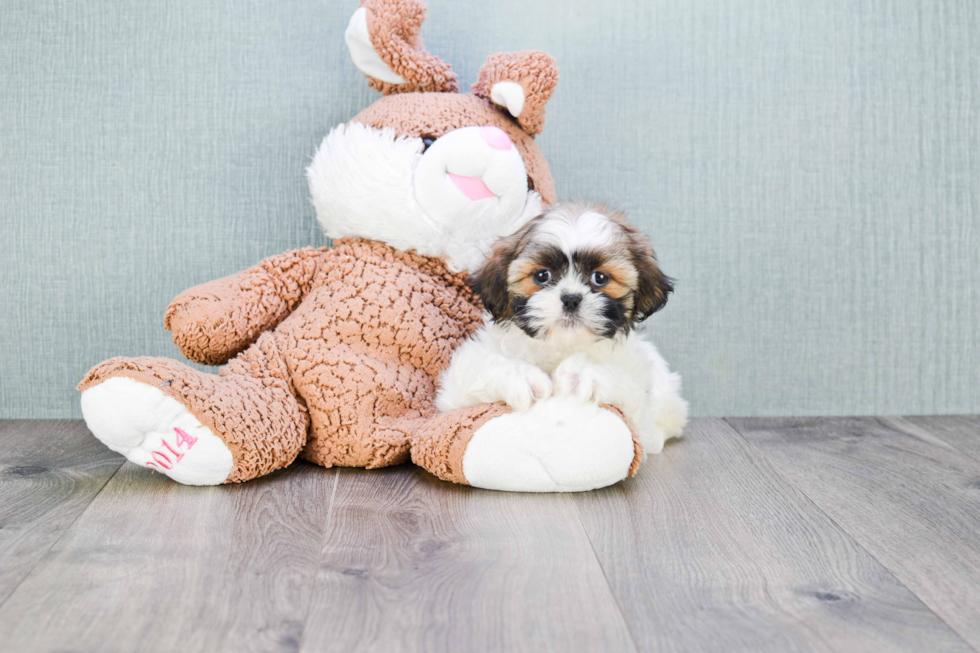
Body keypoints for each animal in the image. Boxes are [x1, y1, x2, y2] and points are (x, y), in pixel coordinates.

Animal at [436, 202, 688, 454]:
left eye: (599, 278)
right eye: (542, 275)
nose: (571, 299)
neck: (560, 345)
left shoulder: (639, 408)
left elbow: (624, 383)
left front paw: (577, 375)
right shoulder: (456, 395)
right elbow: (481, 370)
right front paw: (523, 377)